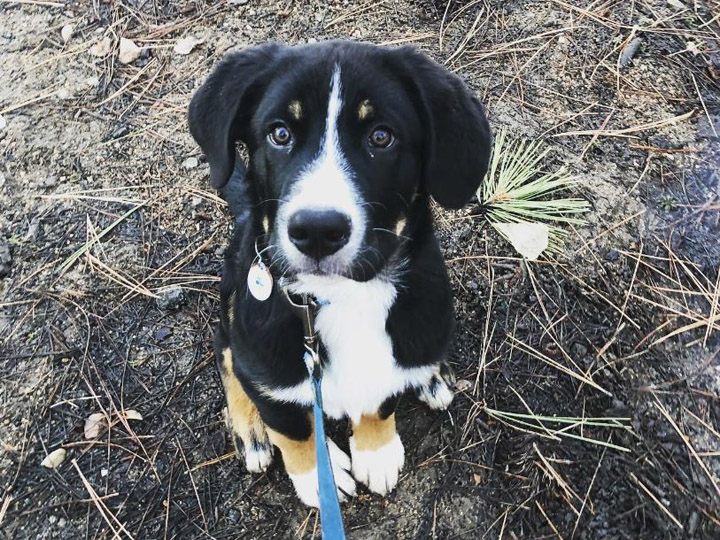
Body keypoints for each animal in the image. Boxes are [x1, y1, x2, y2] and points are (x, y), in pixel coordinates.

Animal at [186, 39, 492, 506]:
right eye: (280, 133)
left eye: (381, 137)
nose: (317, 230)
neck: (343, 298)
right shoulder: (269, 366)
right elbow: (293, 432)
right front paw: (318, 476)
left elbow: (379, 401)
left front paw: (375, 450)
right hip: (235, 298)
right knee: (225, 351)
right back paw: (251, 429)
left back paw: (432, 375)